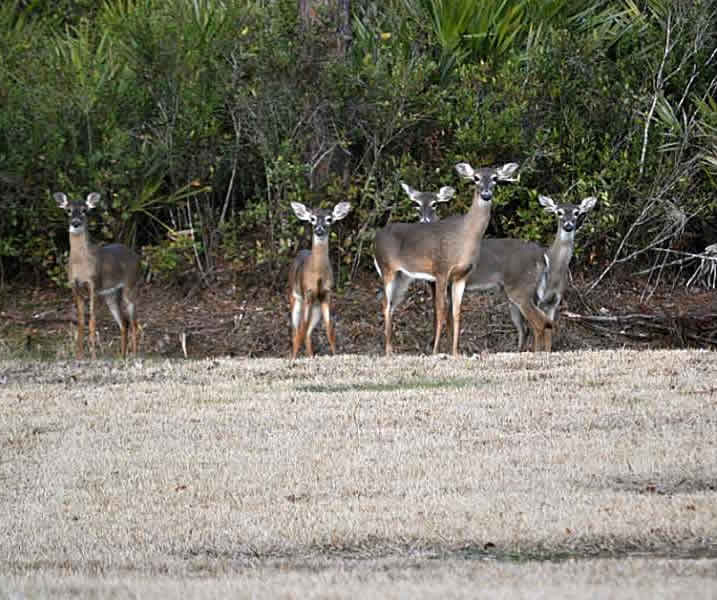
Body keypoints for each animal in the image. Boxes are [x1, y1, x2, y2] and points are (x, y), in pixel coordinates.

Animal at [54, 192, 140, 358]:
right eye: (68, 210)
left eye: (84, 210)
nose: (75, 223)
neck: (81, 265)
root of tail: (137, 258)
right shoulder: (74, 286)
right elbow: (81, 321)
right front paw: (79, 355)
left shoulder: (95, 284)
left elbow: (93, 320)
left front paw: (93, 355)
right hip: (111, 295)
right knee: (124, 323)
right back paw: (122, 356)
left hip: (131, 286)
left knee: (134, 323)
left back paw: (135, 355)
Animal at [288, 202, 350, 360]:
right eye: (312, 219)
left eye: (329, 219)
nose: (319, 230)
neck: (317, 275)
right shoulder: (307, 293)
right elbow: (301, 329)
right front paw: (293, 359)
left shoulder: (326, 294)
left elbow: (330, 329)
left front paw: (335, 354)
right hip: (295, 298)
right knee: (296, 330)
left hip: (316, 307)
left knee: (308, 332)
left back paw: (311, 356)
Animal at [372, 161, 516, 356]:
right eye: (476, 178)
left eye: (495, 178)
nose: (486, 194)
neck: (464, 237)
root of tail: (376, 238)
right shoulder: (441, 270)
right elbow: (440, 311)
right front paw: (435, 351)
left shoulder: (461, 276)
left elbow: (456, 313)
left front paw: (455, 352)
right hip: (386, 268)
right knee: (385, 304)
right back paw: (388, 351)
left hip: (403, 276)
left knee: (392, 304)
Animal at [462, 195, 596, 352]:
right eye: (559, 212)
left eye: (577, 212)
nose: (568, 226)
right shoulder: (540, 299)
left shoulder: (554, 302)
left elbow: (548, 332)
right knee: (529, 327)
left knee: (531, 327)